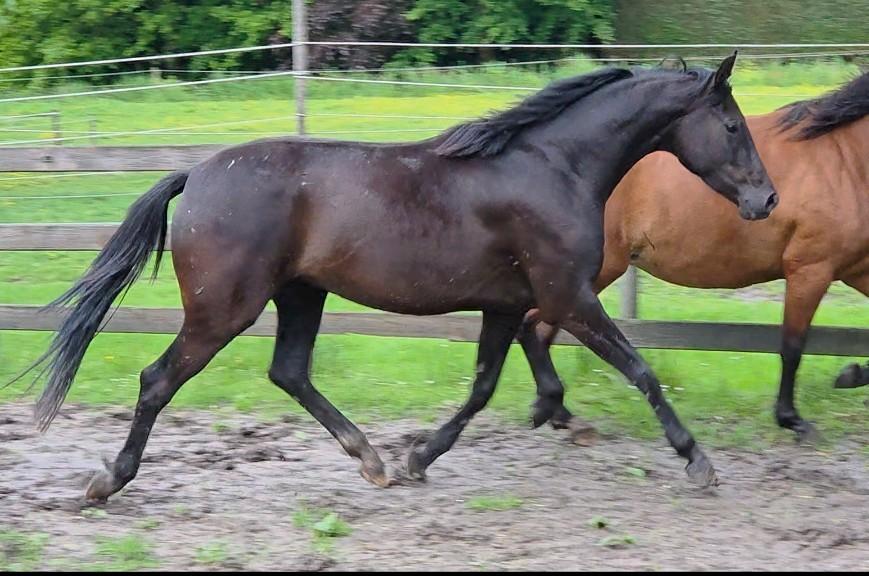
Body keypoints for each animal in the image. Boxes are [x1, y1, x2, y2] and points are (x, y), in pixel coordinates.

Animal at [20, 53, 778, 502]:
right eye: (732, 125)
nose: (766, 201)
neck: (552, 166)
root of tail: (196, 174)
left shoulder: (509, 305)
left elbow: (483, 387)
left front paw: (420, 457)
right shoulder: (569, 295)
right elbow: (641, 370)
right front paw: (697, 462)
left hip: (301, 295)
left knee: (288, 372)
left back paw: (372, 460)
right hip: (223, 309)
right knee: (158, 380)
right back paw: (107, 481)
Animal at [525, 71, 868, 443]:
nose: (767, 200)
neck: (845, 161)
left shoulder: (858, 269)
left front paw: (850, 375)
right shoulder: (810, 269)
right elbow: (792, 347)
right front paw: (793, 419)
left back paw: (560, 415)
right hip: (588, 274)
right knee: (540, 326)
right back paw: (560, 415)